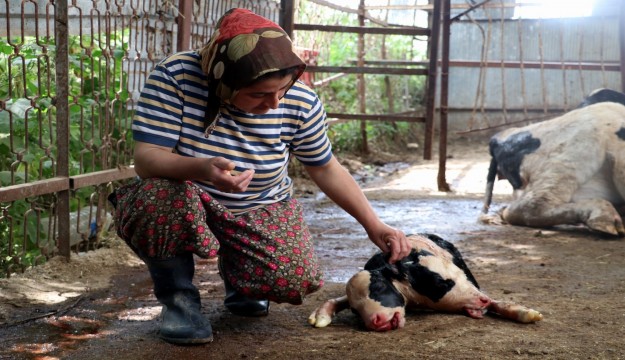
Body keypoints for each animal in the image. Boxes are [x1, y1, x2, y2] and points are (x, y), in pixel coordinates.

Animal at [308, 233, 540, 332]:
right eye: (355, 311)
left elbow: (493, 300)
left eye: (379, 286)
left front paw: (527, 313)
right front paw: (320, 317)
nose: (376, 320)